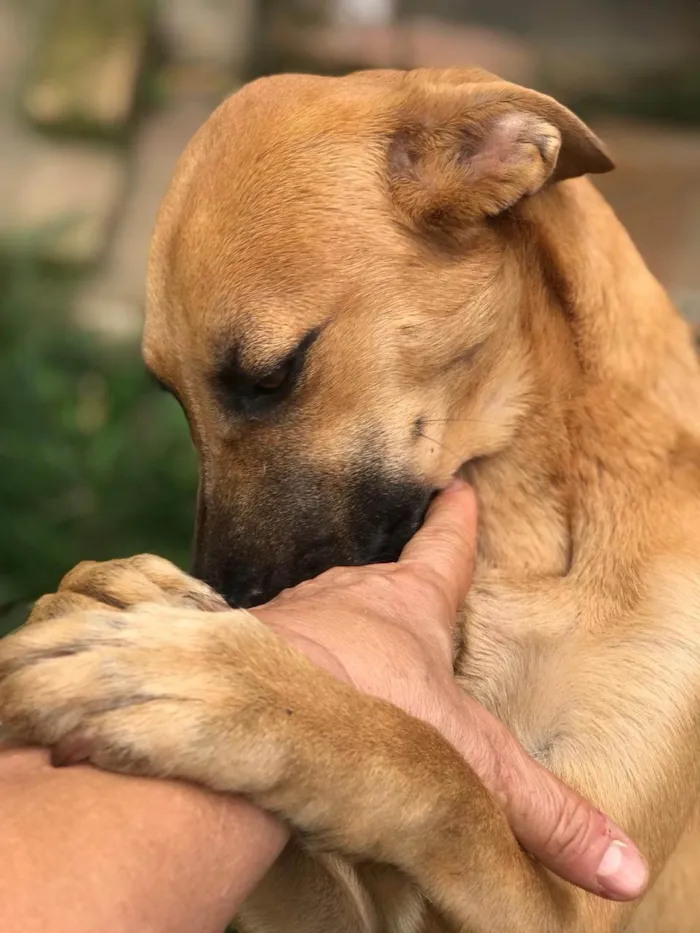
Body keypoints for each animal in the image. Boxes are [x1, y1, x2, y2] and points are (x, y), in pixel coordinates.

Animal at [1, 67, 700, 932]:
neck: (535, 513)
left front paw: (214, 683)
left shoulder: (581, 895)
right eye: (169, 394)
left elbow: (433, 767)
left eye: (273, 374)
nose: (238, 599)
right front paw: (99, 591)